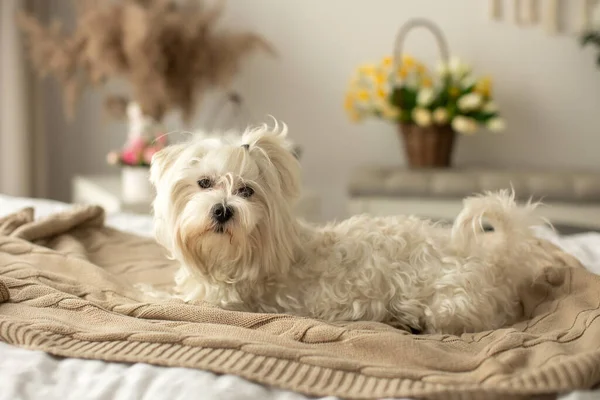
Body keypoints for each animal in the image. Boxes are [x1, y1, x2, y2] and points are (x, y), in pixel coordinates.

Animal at [151, 122, 552, 334]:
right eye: (204, 183)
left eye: (247, 191)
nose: (223, 211)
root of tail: (497, 261)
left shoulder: (221, 304)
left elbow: (162, 299)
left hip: (447, 308)